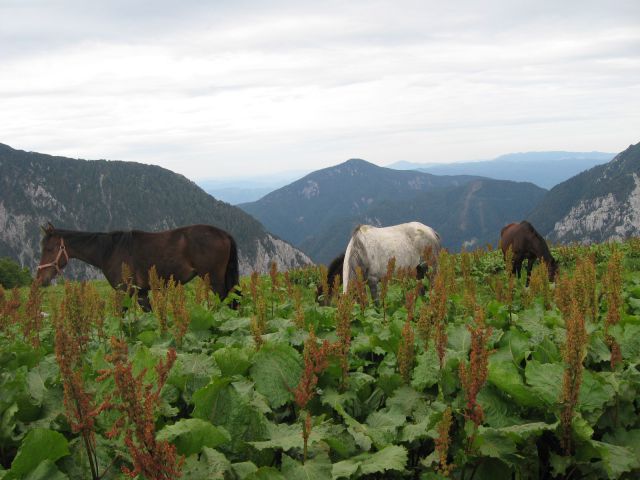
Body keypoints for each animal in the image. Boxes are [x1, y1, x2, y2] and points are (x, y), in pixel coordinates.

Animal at [35, 223, 240, 310]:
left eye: (49, 248)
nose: (40, 279)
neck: (110, 250)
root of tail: (224, 234)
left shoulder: (124, 291)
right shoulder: (141, 292)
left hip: (214, 281)